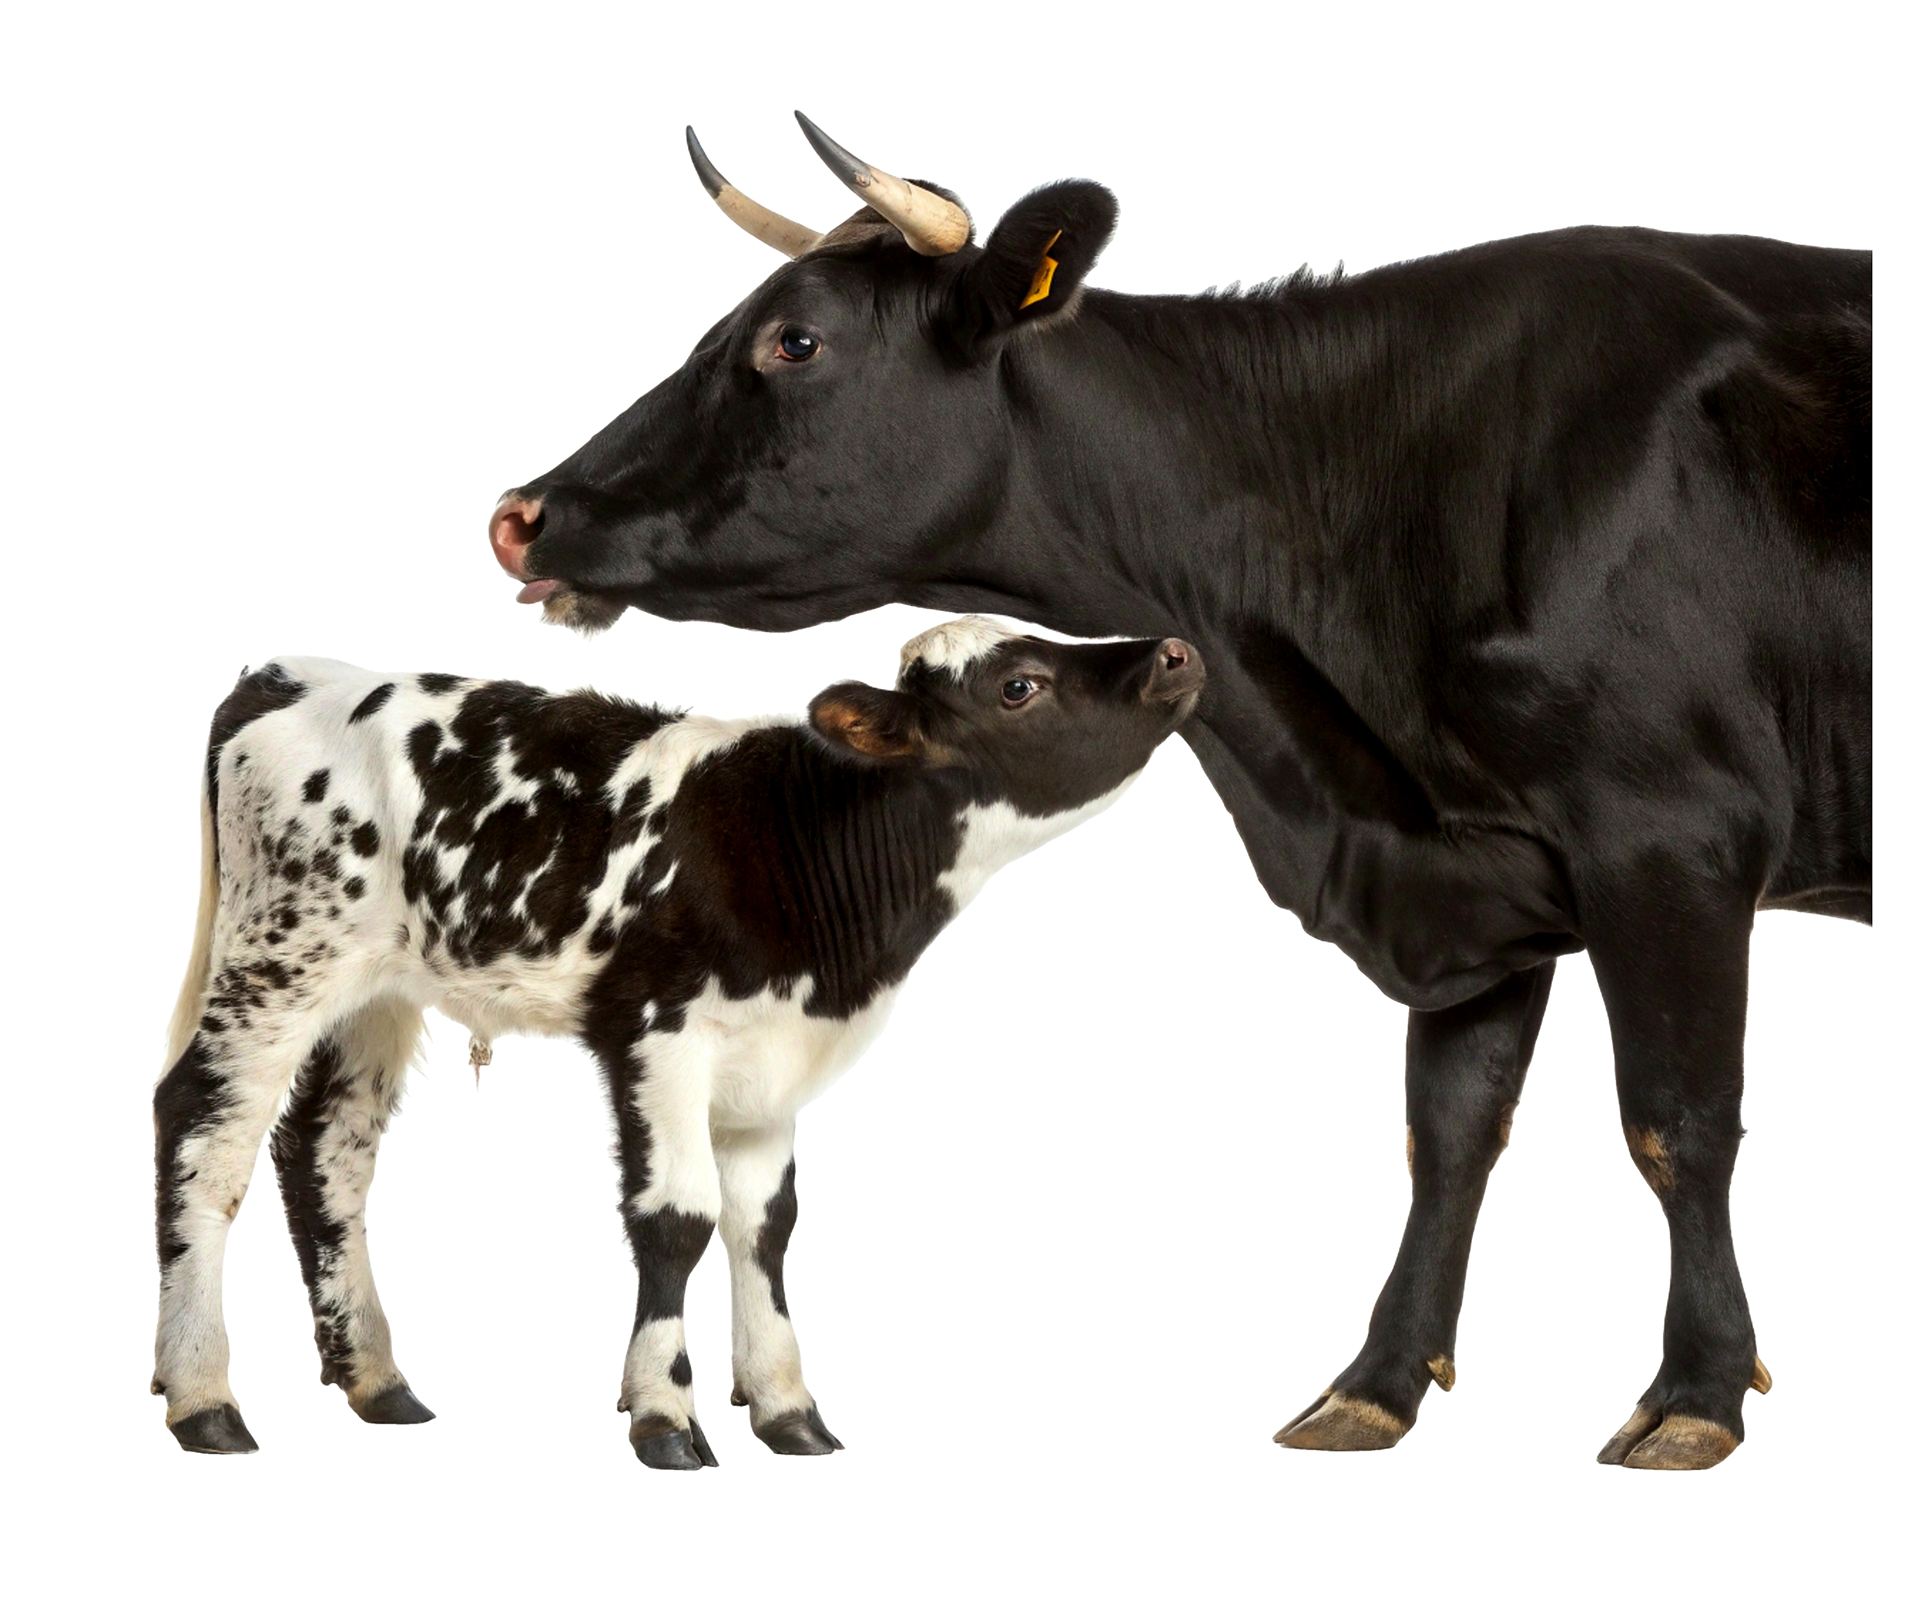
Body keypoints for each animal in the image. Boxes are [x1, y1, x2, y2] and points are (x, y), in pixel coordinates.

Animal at [152, 620, 1205, 1466]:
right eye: (1019, 684)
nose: (1175, 652)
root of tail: (288, 673)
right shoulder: (655, 1034)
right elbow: (678, 1221)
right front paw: (664, 1412)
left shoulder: (775, 1064)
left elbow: (767, 1226)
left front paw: (787, 1408)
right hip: (279, 956)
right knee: (204, 1134)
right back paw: (203, 1395)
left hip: (374, 992)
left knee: (325, 1157)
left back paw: (377, 1380)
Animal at [485, 115, 1872, 1469]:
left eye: (796, 338)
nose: (521, 514)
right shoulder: (1477, 870)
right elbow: (1448, 1134)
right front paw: (1375, 1383)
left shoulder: (1668, 835)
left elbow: (1678, 1122)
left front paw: (1697, 1391)